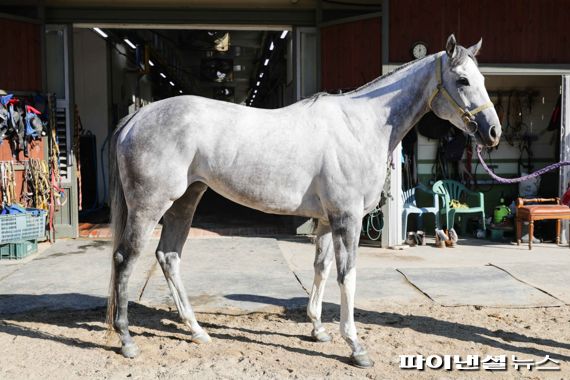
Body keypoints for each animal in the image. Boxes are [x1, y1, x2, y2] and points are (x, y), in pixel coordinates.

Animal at [105, 35, 496, 368]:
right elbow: (347, 275)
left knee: (168, 256)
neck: (359, 126)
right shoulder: (347, 219)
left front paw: (318, 330)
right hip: (149, 206)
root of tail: (139, 116)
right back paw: (126, 340)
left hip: (185, 202)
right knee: (126, 258)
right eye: (462, 80)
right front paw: (355, 346)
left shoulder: (325, 220)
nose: (493, 132)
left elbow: (321, 269)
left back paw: (198, 331)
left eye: (482, 77)